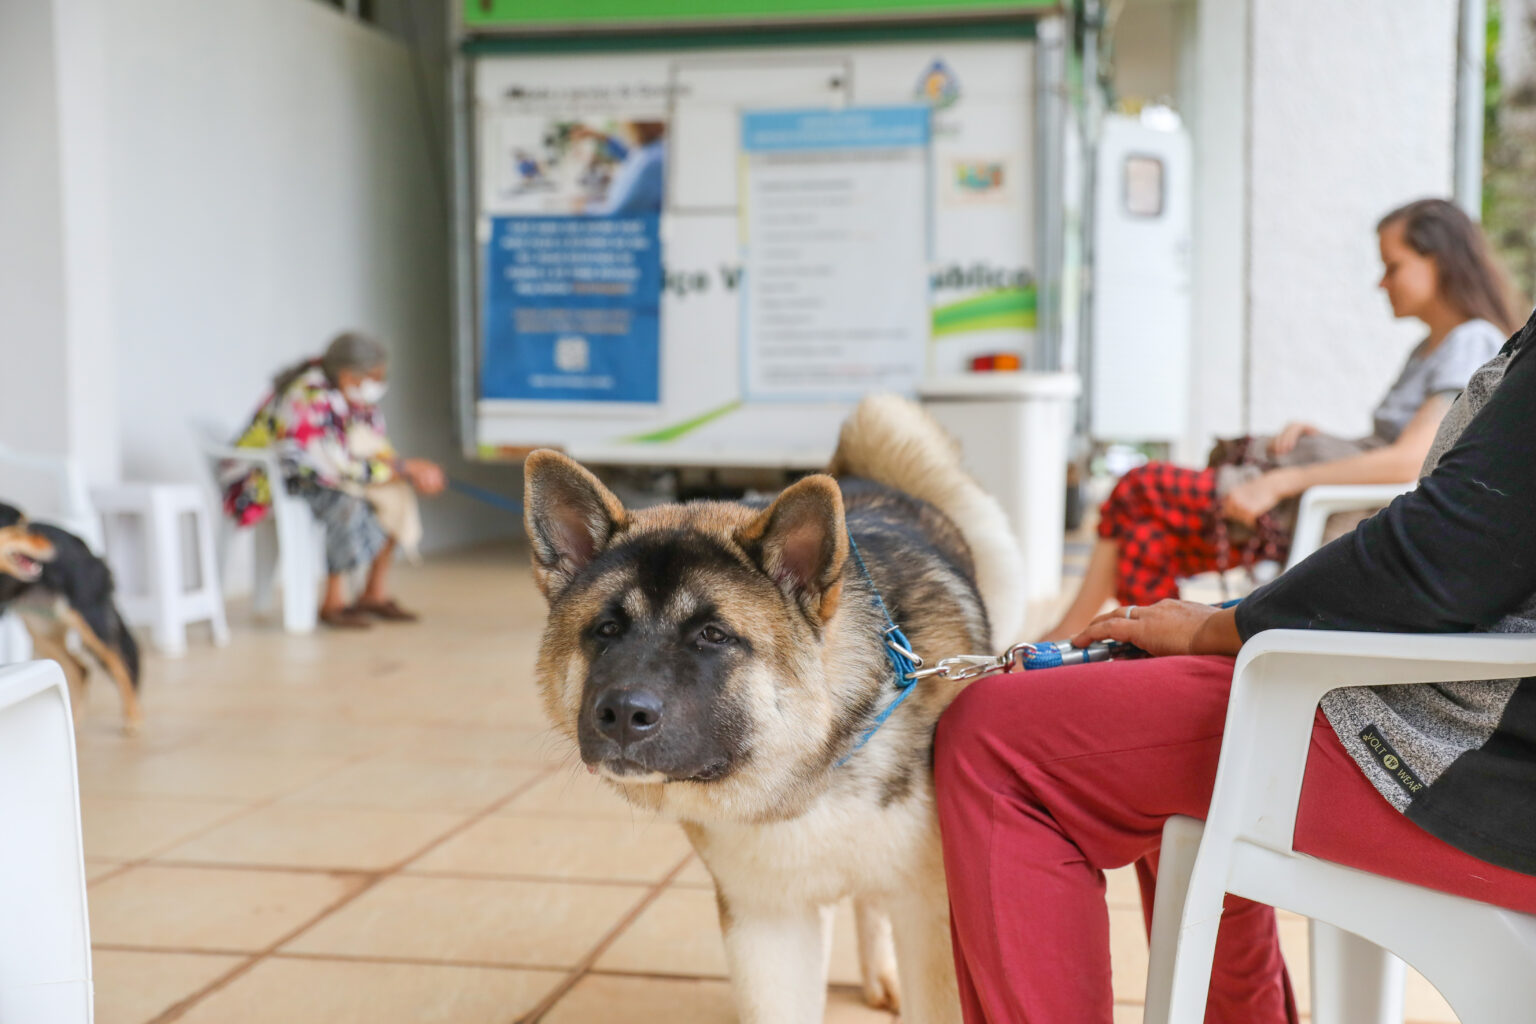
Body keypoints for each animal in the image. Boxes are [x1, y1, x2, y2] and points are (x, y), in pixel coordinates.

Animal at [0, 503, 142, 727]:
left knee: (121, 665)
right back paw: (75, 722)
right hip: (41, 630)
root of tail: (80, 541)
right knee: (80, 669)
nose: (53, 546)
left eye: (26, 524)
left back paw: (133, 720)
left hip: (89, 618)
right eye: (20, 526)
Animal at [525, 396, 1019, 1019]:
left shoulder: (930, 917)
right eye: (607, 630)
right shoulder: (768, 925)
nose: (619, 714)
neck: (815, 771)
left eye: (712, 635)